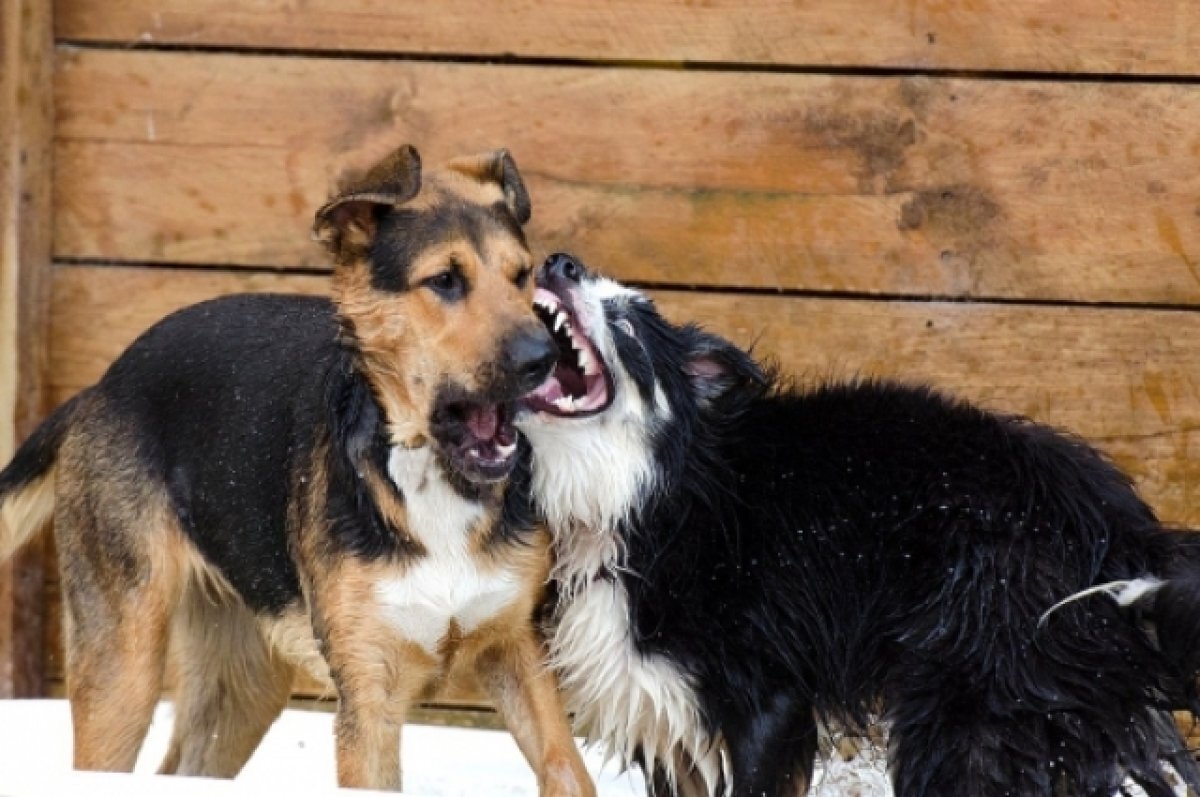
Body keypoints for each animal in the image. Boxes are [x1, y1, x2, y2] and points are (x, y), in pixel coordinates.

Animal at [0, 144, 595, 797]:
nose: (544, 359)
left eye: (522, 276)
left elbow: (570, 771)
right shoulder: (369, 695)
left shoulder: (522, 653)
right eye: (444, 280)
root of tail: (102, 385)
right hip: (122, 667)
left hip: (242, 684)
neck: (425, 476)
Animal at [520, 253, 1200, 797]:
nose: (559, 261)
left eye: (629, 325)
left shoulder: (771, 699)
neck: (644, 498)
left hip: (973, 696)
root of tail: (1120, 526)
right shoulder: (661, 713)